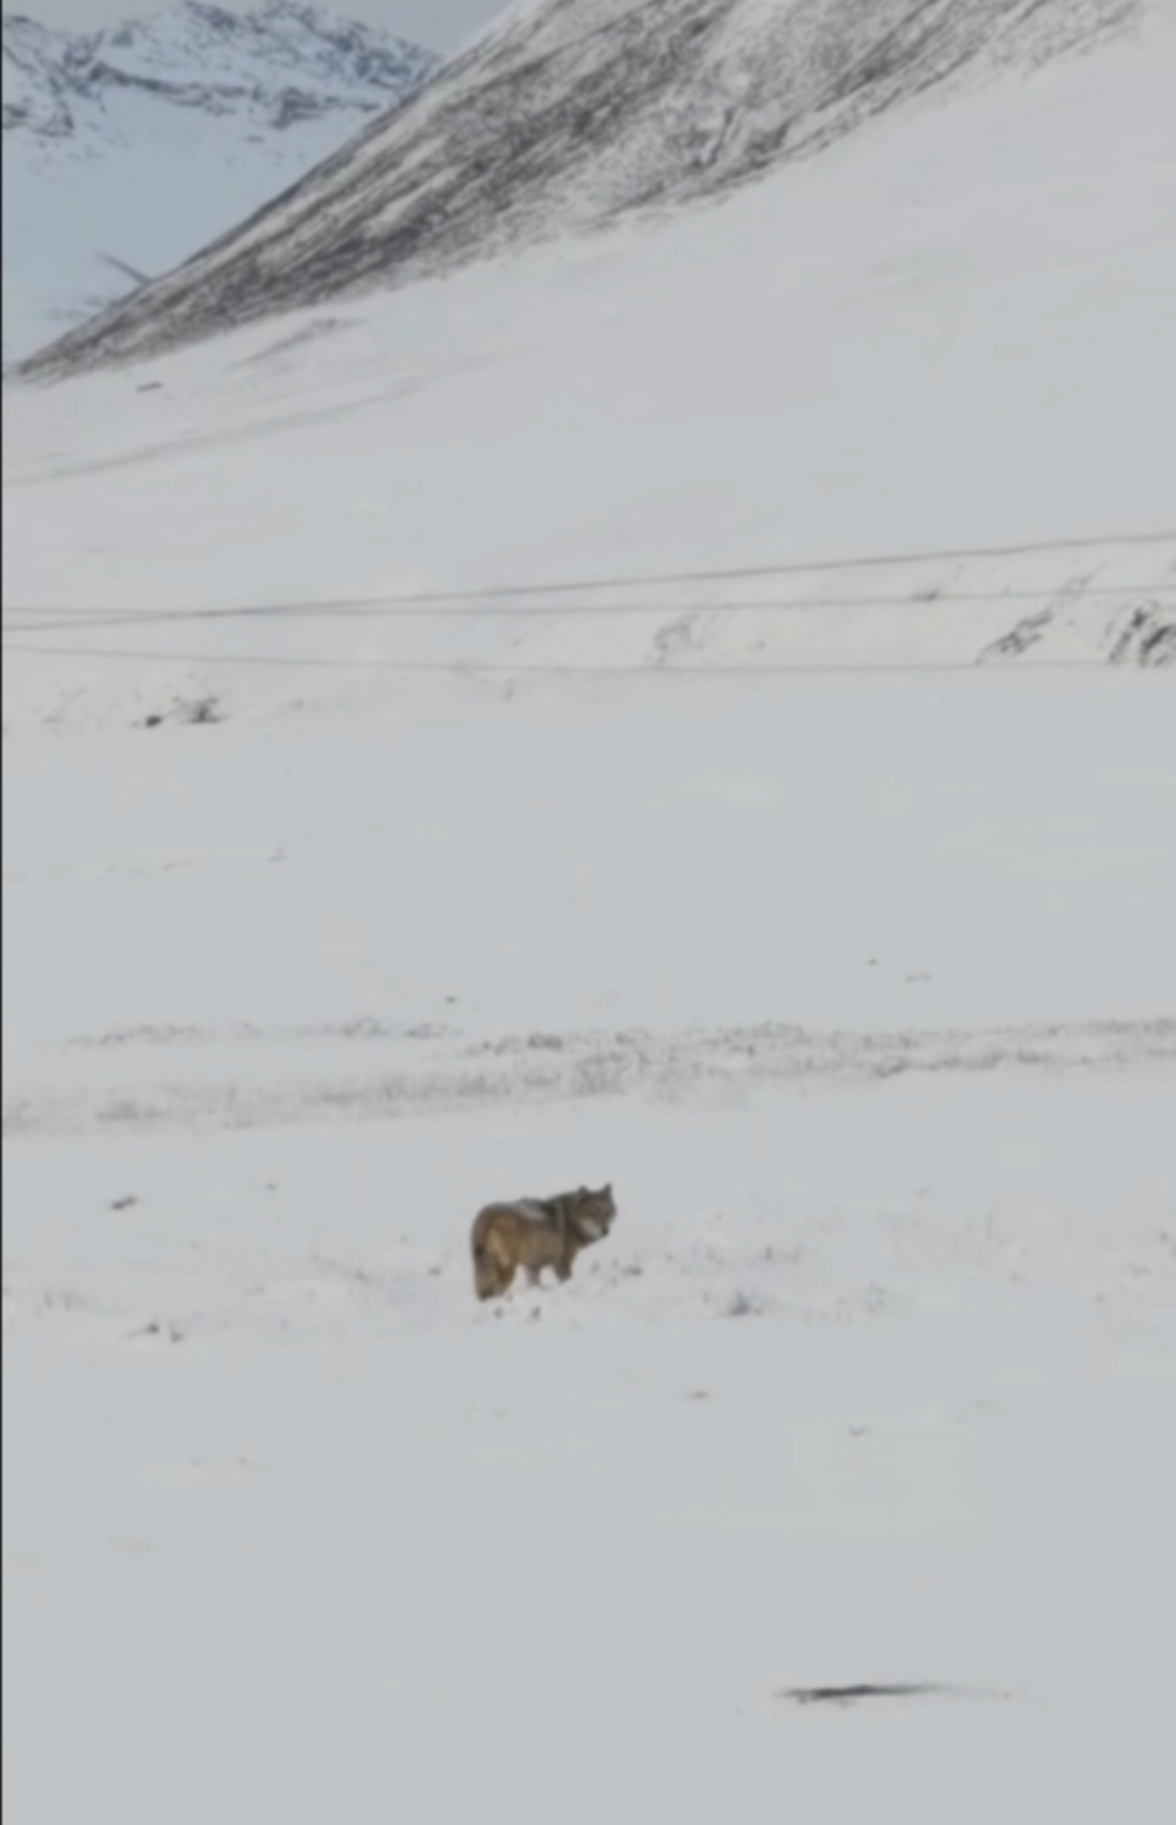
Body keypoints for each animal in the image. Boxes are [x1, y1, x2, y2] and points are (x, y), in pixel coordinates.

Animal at [467, 1182, 617, 1299]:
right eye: (594, 1212)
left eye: (608, 1212)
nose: (606, 1230)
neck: (571, 1220)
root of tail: (487, 1215)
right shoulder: (561, 1262)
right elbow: (566, 1280)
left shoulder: (532, 1266)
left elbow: (534, 1284)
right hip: (507, 1269)